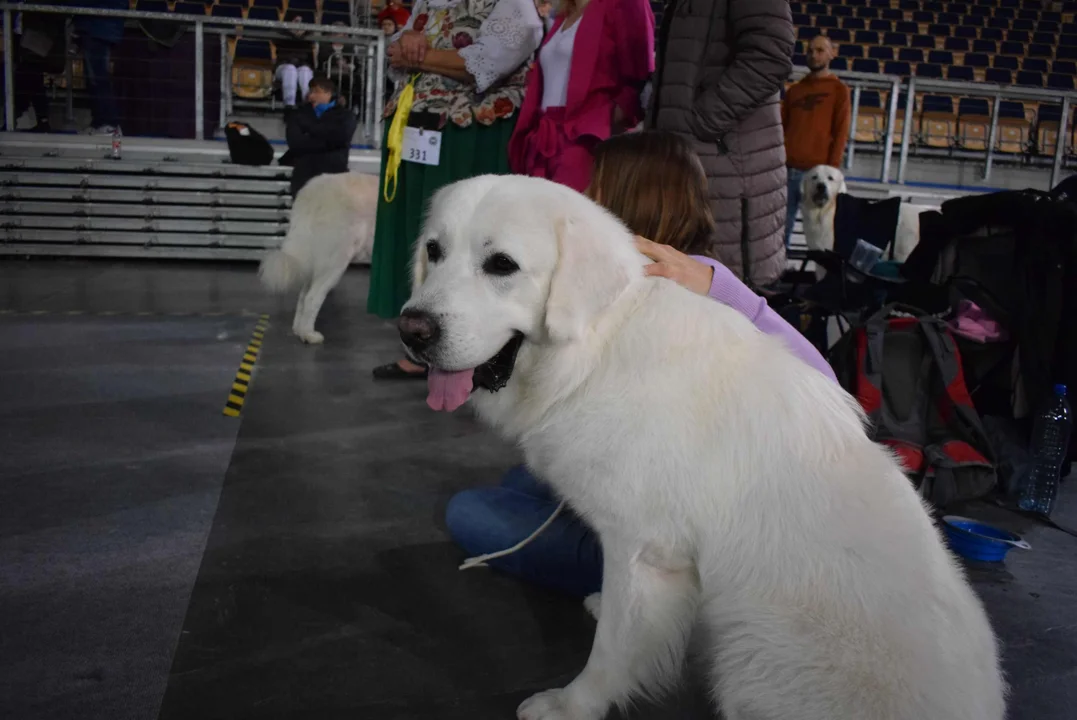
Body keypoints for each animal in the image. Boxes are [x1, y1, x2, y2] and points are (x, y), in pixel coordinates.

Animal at [257, 172, 379, 344]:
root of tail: (312, 191)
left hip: (315, 263)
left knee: (303, 296)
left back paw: (299, 330)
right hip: (334, 263)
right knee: (312, 297)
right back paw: (309, 335)